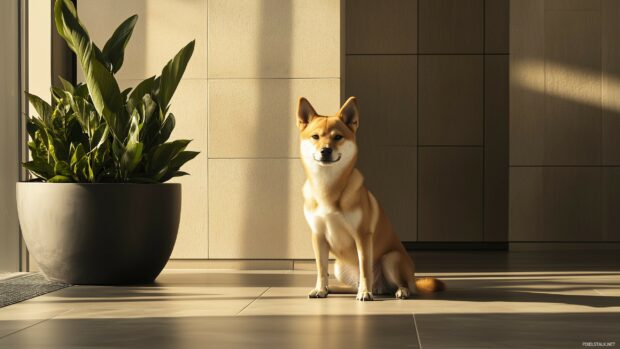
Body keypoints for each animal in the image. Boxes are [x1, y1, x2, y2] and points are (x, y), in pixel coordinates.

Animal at [298, 95, 444, 300]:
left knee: (400, 283)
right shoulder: (318, 236)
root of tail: (380, 287)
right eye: (315, 137)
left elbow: (365, 268)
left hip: (391, 259)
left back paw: (397, 290)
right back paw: (334, 288)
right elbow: (321, 269)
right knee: (352, 283)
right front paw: (320, 288)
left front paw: (365, 294)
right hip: (339, 267)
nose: (325, 150)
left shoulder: (362, 236)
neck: (328, 187)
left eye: (337, 137)